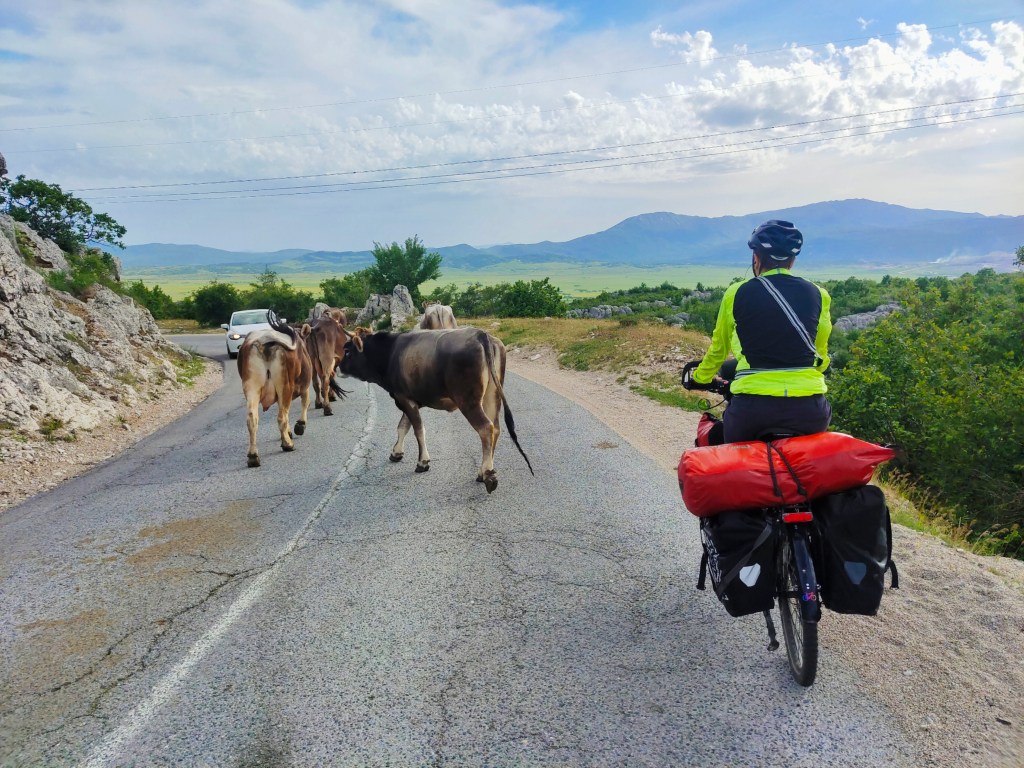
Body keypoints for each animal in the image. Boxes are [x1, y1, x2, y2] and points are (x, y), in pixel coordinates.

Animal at [238, 310, 343, 467]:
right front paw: (300, 426)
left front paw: (289, 432)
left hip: (252, 387)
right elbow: (305, 402)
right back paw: (288, 444)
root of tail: (264, 342)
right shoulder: (304, 385)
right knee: (282, 415)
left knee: (252, 418)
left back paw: (253, 456)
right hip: (286, 384)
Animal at [338, 326, 533, 493]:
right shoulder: (408, 398)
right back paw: (482, 471)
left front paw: (422, 462)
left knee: (486, 428)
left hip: (468, 401)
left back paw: (488, 474)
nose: (338, 367)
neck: (390, 353)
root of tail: (479, 334)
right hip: (492, 396)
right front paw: (396, 452)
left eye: (347, 351)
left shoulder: (404, 398)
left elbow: (418, 430)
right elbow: (403, 427)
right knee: (496, 428)